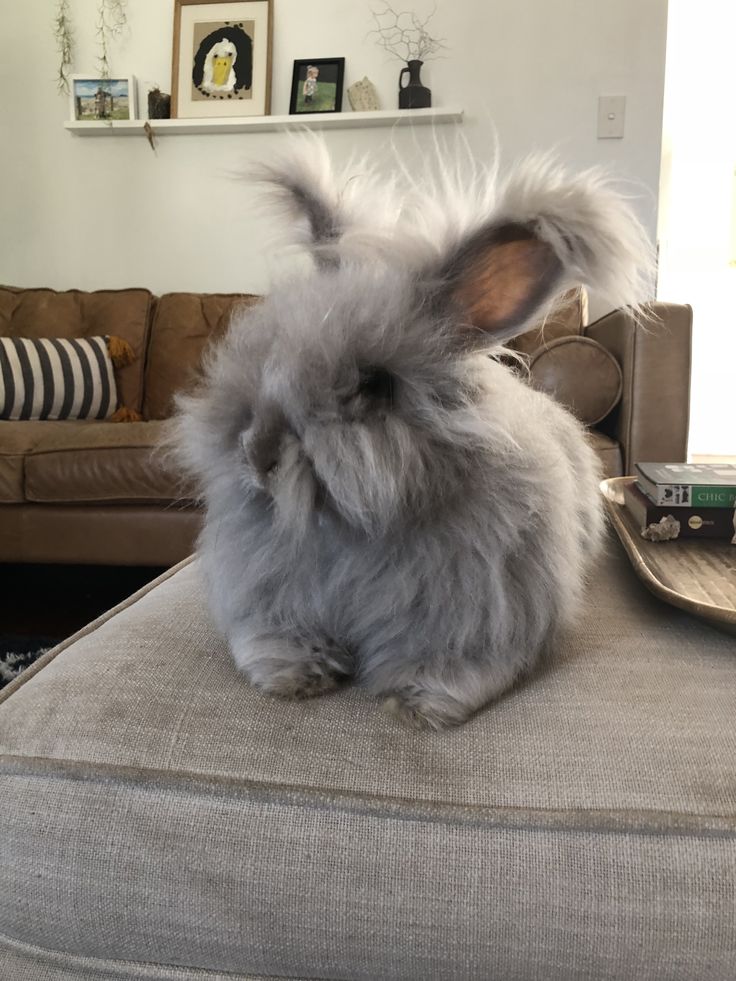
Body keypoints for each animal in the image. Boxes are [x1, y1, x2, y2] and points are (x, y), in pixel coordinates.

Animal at [171, 136, 648, 728]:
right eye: (262, 353)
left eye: (374, 384)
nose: (256, 454)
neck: (351, 529)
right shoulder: (273, 600)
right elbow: (274, 638)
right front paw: (291, 678)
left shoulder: (478, 612)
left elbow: (450, 664)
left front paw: (418, 703)